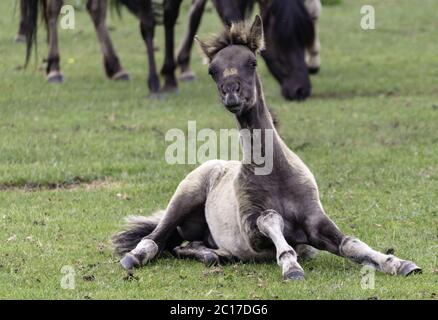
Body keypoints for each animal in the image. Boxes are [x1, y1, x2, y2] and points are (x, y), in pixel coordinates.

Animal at [112, 15, 420, 280]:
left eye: (252, 62)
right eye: (212, 71)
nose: (232, 93)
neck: (276, 173)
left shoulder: (315, 220)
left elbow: (351, 244)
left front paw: (399, 263)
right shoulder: (253, 230)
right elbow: (271, 220)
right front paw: (291, 267)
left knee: (185, 246)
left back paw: (211, 254)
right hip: (185, 195)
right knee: (156, 238)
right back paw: (135, 257)